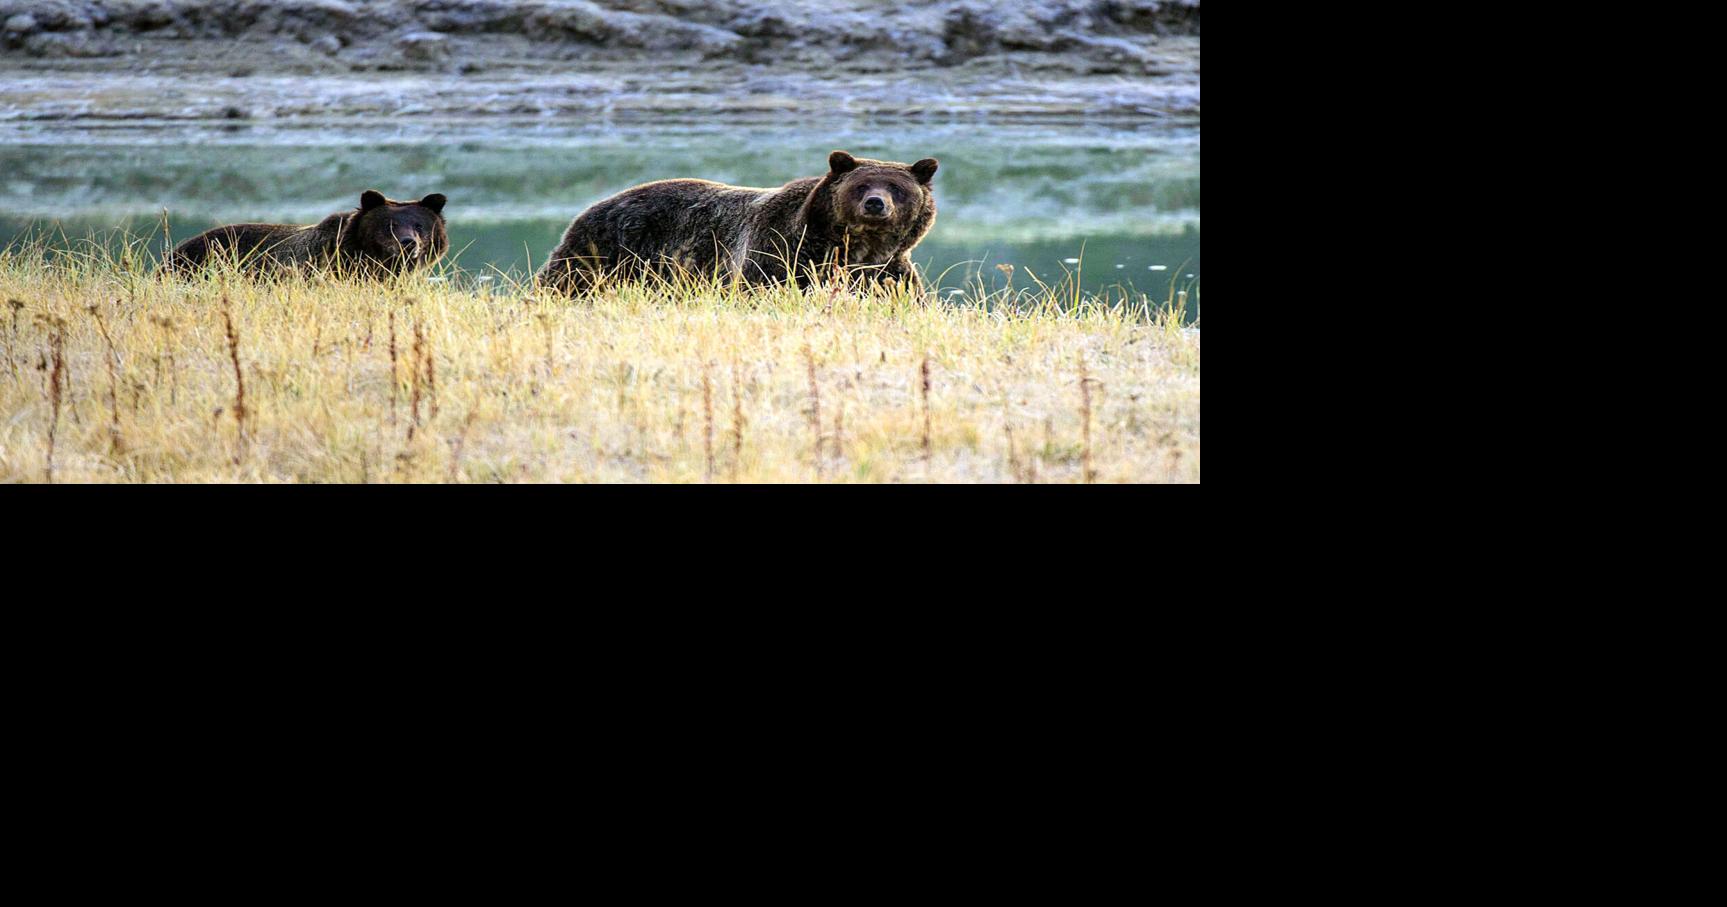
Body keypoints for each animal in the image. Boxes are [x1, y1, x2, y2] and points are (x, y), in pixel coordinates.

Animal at [536, 151, 938, 296]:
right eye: (861, 185)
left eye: (897, 187)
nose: (875, 203)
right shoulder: (780, 252)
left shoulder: (887, 271)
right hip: (606, 250)